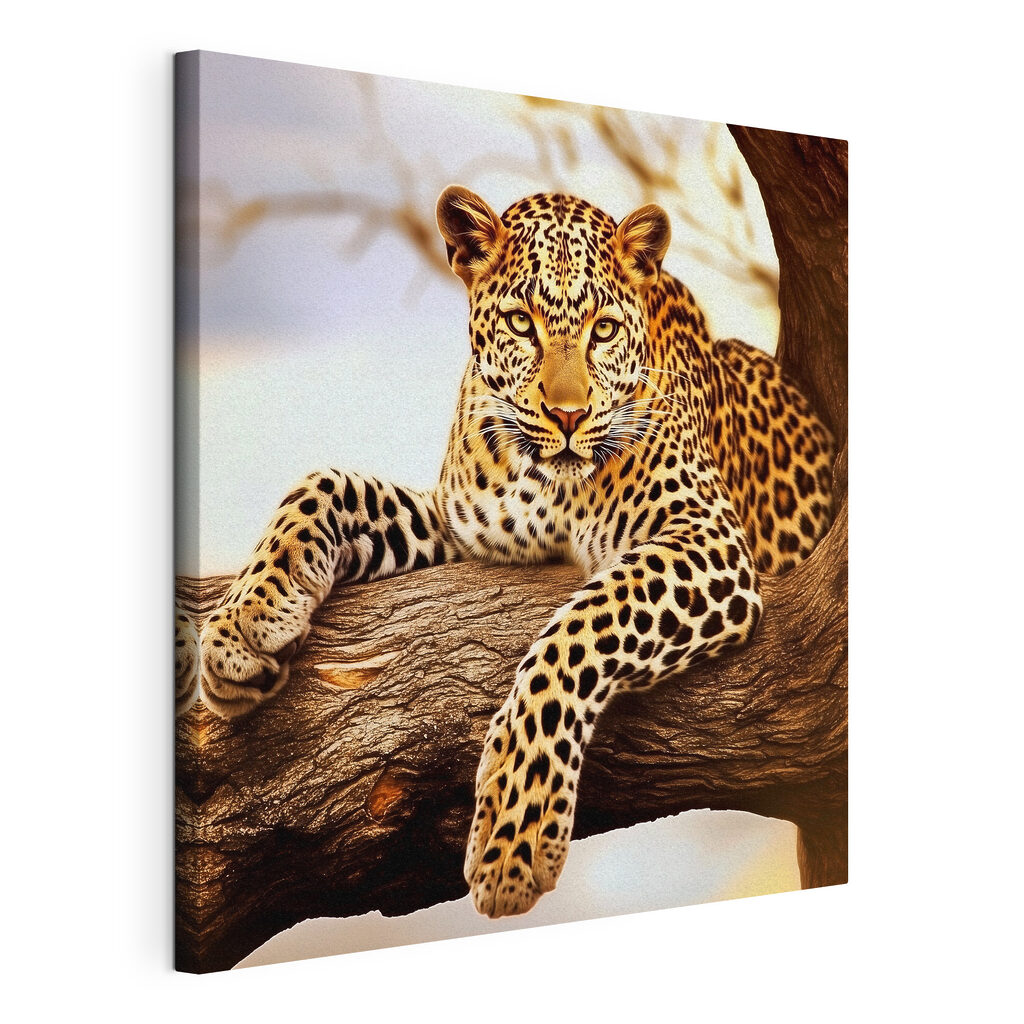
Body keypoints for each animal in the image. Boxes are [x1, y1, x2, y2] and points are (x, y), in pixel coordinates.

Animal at [176, 185, 835, 919]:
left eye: (603, 330)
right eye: (522, 324)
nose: (569, 416)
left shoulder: (706, 538)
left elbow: (579, 631)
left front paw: (515, 830)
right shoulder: (456, 529)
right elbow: (323, 485)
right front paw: (242, 628)